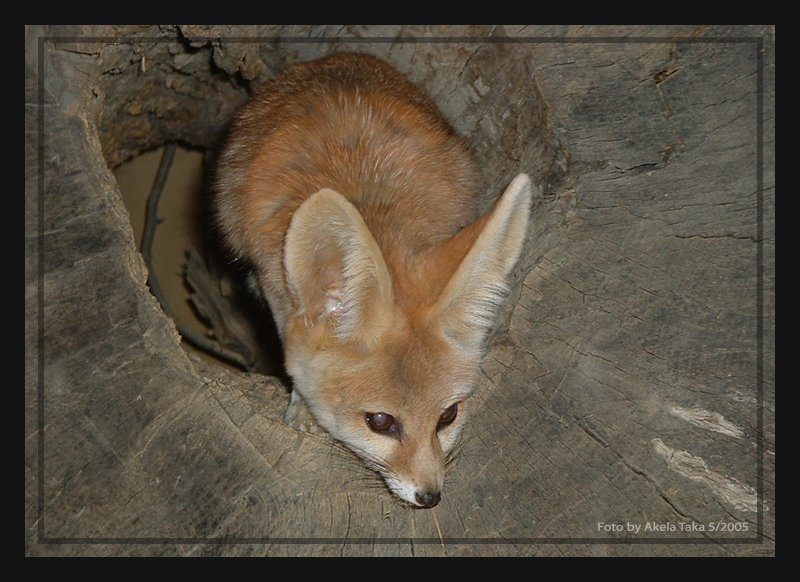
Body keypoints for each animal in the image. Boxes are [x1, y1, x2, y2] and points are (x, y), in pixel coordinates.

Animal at [219, 54, 532, 512]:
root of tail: (337, 58)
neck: (363, 195)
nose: (430, 497)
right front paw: (302, 407)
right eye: (380, 422)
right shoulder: (269, 276)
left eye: (448, 416)